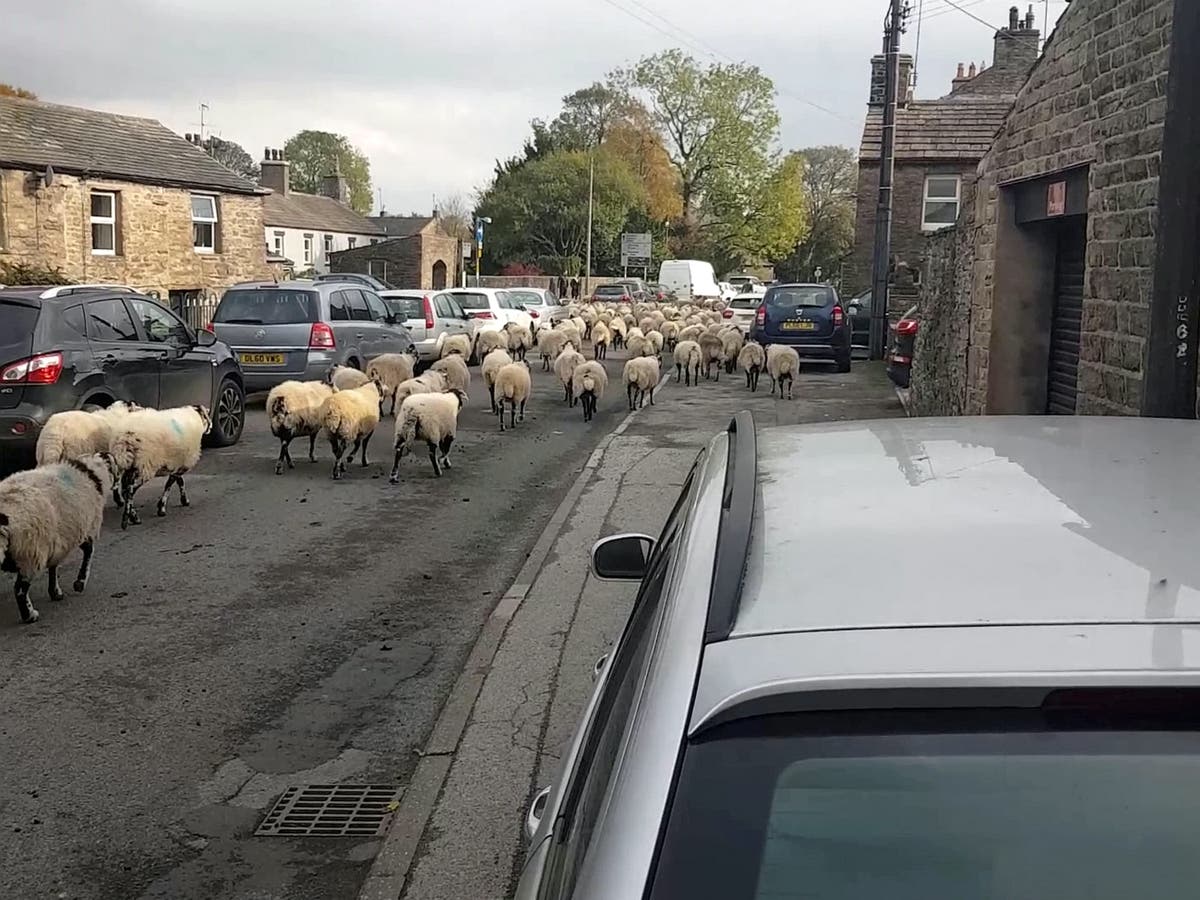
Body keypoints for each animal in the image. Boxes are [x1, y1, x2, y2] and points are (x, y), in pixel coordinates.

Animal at [0, 453, 121, 624]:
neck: (92, 473)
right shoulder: (85, 529)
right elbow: (88, 552)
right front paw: (79, 583)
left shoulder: (58, 540)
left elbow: (54, 567)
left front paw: (55, 592)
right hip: (30, 553)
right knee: (20, 589)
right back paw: (30, 616)